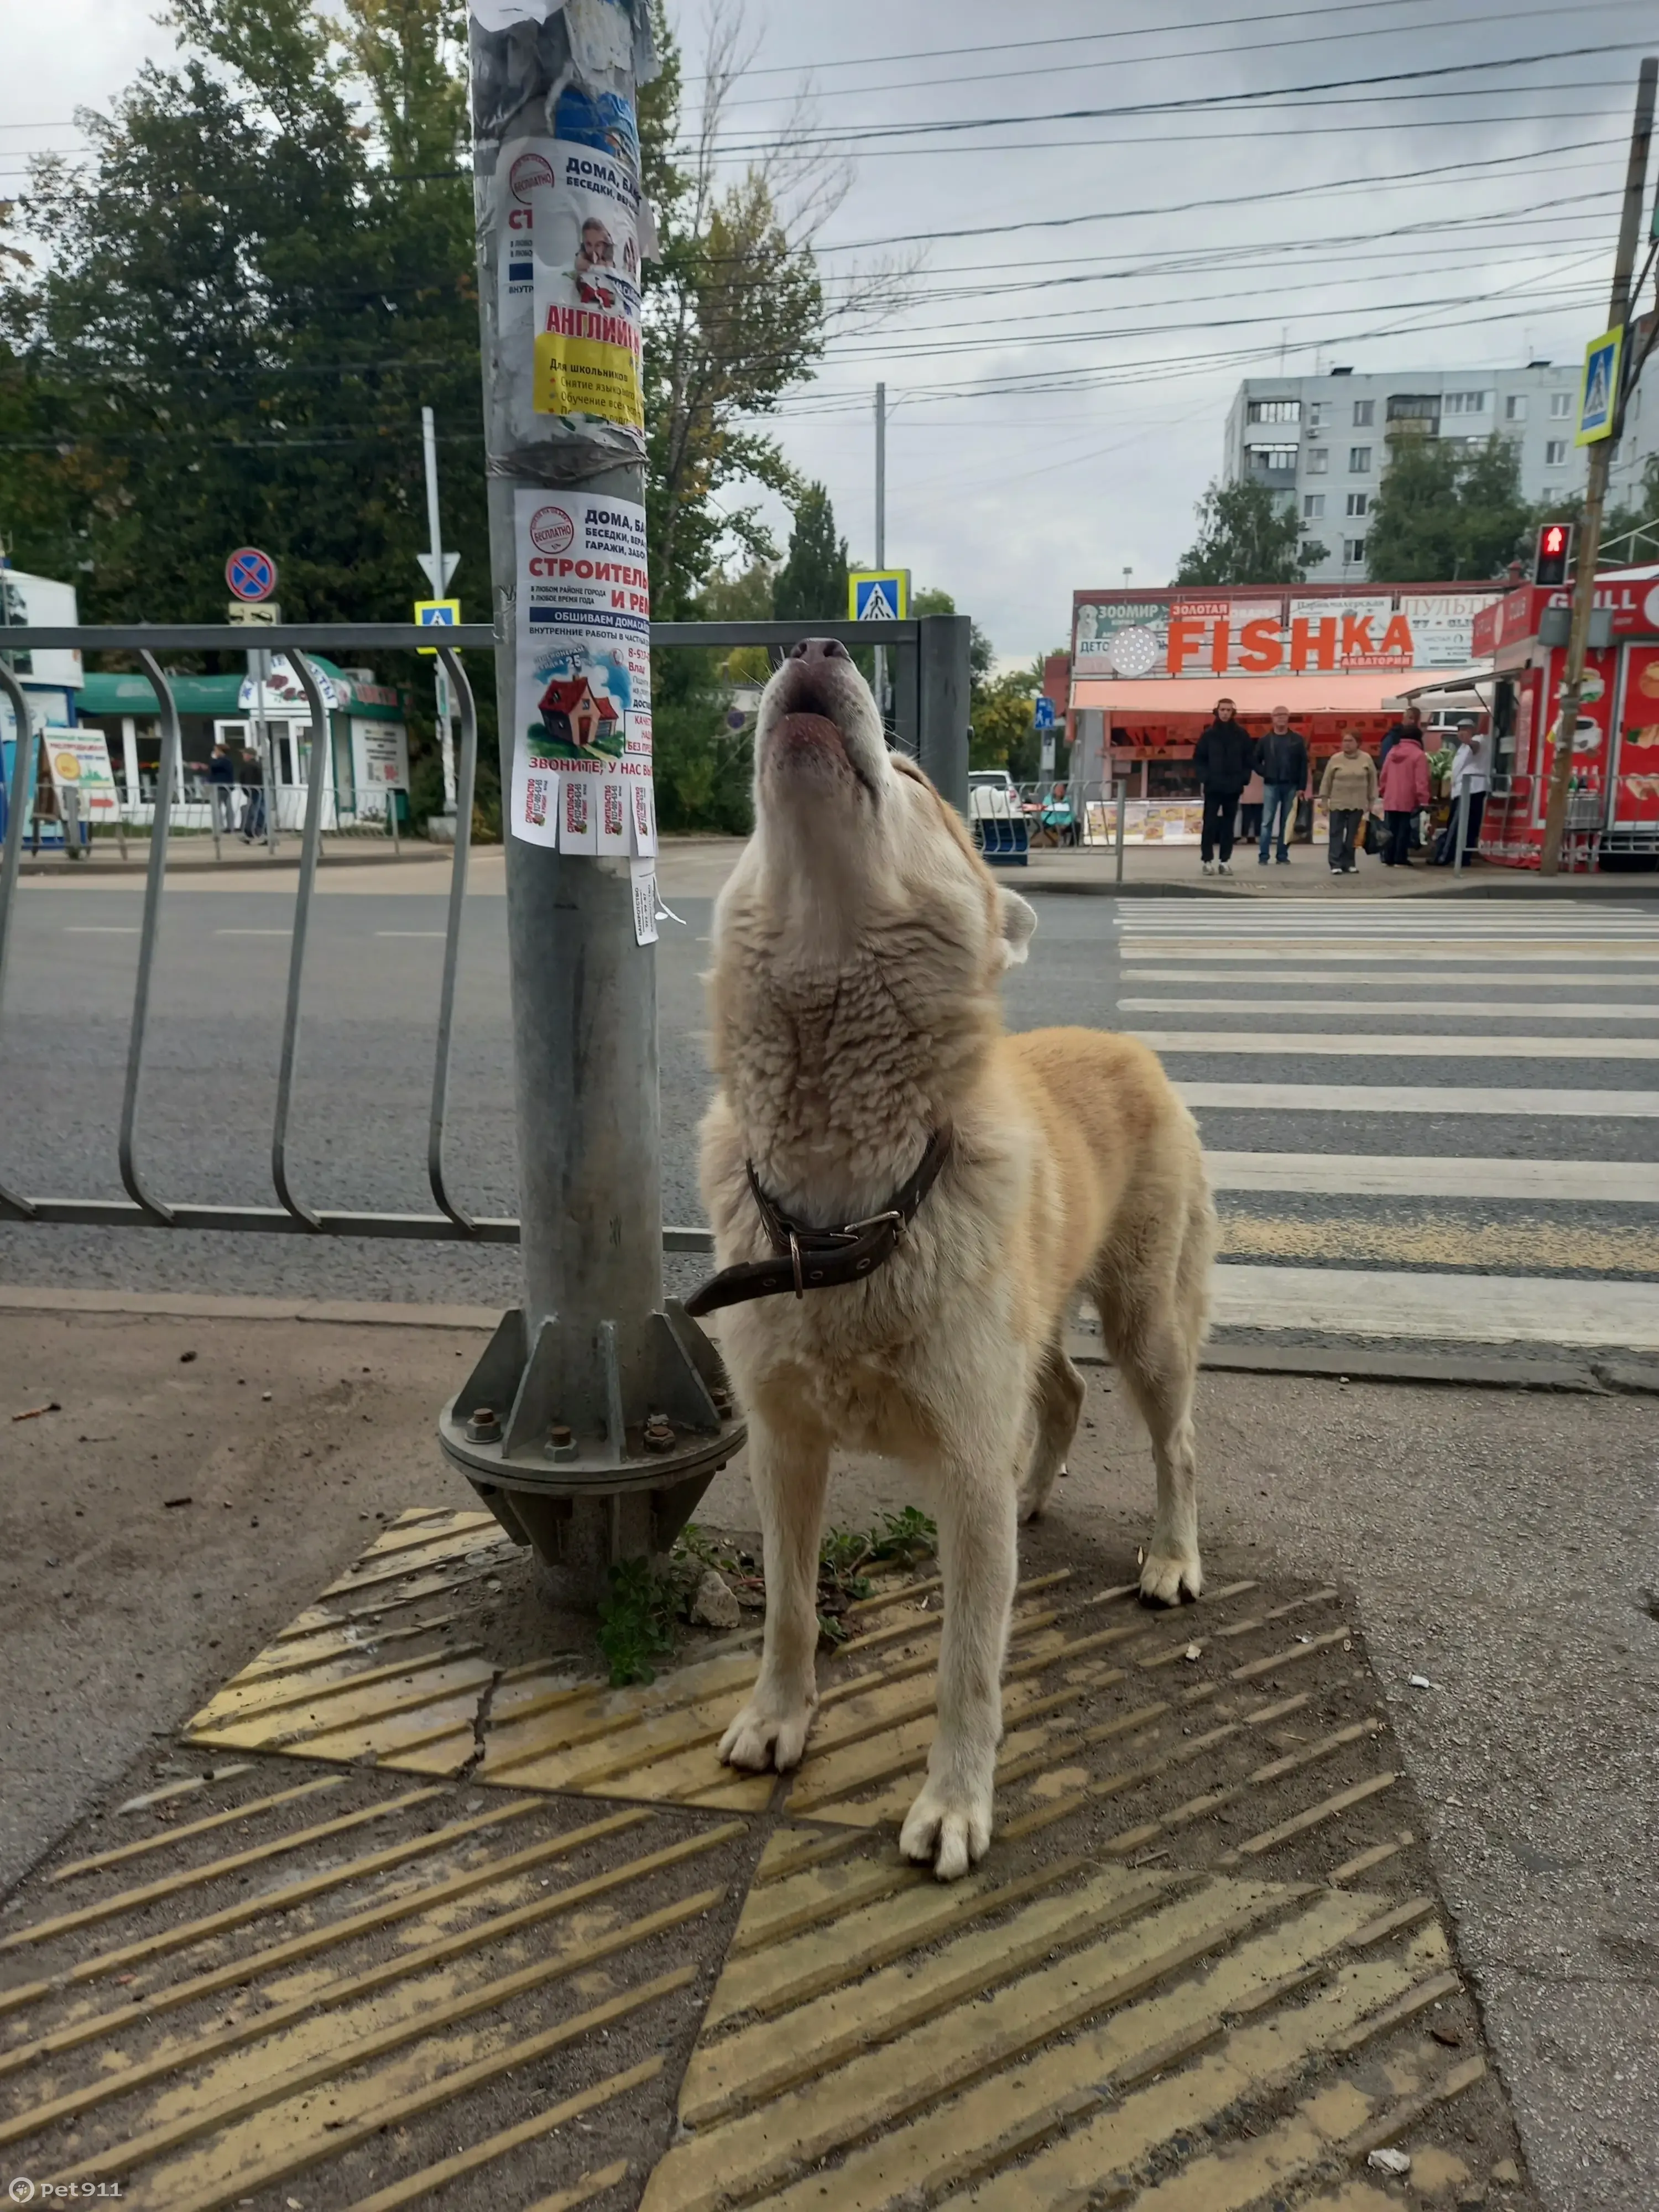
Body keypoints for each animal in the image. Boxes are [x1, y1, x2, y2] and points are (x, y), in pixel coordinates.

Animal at [690, 641, 1221, 1885]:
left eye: (916, 773)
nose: (817, 648)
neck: (844, 1203)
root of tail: (1129, 1042)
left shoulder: (964, 1466)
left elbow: (966, 1664)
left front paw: (955, 1802)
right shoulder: (785, 1446)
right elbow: (789, 1606)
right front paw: (778, 1718)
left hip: (1148, 1325)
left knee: (1172, 1440)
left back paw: (1172, 1558)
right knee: (1062, 1397)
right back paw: (1038, 1495)